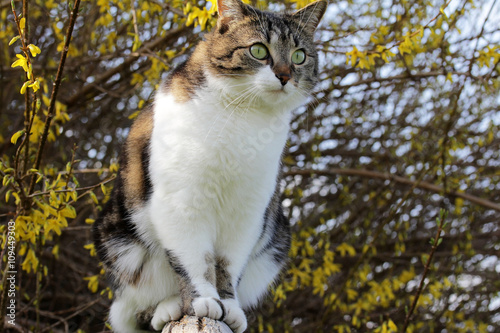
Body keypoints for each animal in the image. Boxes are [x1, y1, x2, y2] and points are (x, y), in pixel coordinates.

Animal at [93, 1, 328, 330]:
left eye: (299, 55)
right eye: (258, 50)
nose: (284, 76)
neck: (244, 115)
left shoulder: (248, 212)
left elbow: (228, 265)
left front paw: (228, 305)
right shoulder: (181, 202)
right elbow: (195, 260)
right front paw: (203, 299)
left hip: (278, 238)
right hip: (117, 239)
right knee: (134, 305)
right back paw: (169, 307)